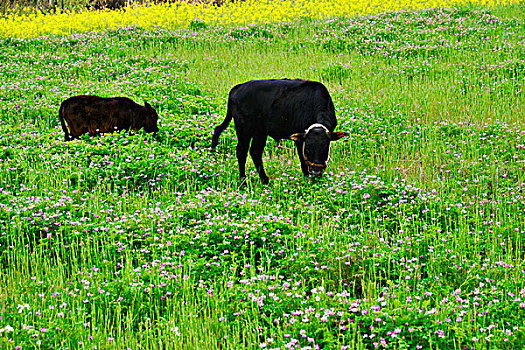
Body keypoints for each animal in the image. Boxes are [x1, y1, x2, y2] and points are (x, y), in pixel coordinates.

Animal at [211, 79, 346, 183]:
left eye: (325, 148)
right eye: (308, 149)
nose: (316, 172)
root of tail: (237, 87)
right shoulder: (299, 139)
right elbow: (302, 159)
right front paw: (307, 178)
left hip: (260, 131)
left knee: (255, 152)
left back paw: (265, 180)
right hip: (244, 128)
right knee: (241, 151)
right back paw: (243, 181)